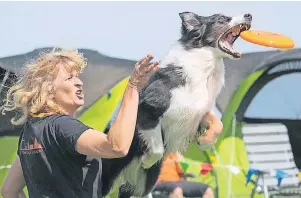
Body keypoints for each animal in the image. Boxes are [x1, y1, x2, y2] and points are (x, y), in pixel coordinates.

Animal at [101, 11, 251, 197]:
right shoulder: (148, 108)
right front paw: (147, 159)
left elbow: (219, 124)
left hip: (145, 184)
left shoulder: (197, 112)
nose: (249, 15)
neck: (204, 66)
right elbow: (157, 149)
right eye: (222, 19)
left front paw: (205, 141)